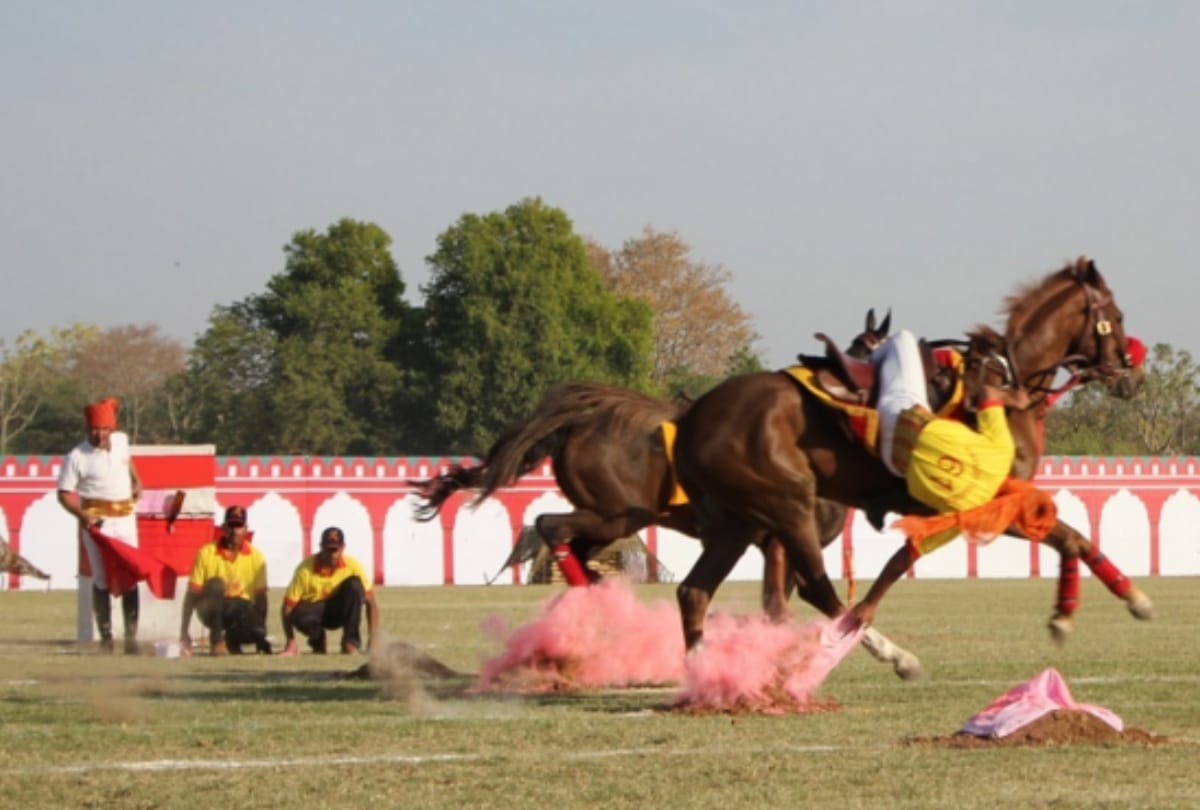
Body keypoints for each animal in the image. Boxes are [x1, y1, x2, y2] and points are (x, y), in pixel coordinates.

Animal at [411, 310, 925, 679]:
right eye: (871, 352)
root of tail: (578, 421)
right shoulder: (782, 536)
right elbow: (787, 603)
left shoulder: (764, 539)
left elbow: (776, 604)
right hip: (617, 515)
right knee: (548, 525)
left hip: (611, 523)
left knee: (574, 546)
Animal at [670, 257, 1149, 651]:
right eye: (1117, 316)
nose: (1130, 375)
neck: (1008, 385)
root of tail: (694, 417)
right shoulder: (976, 504)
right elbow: (903, 561)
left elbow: (1072, 538)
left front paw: (1103, 605)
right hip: (788, 503)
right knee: (813, 588)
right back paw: (889, 653)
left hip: (740, 518)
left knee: (695, 591)